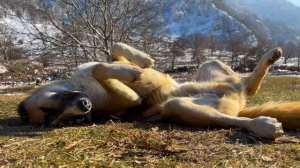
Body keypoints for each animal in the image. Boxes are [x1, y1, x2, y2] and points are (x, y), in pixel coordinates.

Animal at [18, 42, 300, 139]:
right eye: (61, 120)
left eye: (47, 107)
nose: (85, 107)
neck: (76, 85)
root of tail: (238, 102)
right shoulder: (129, 101)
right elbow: (100, 67)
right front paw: (132, 73)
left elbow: (112, 52)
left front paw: (141, 61)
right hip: (182, 107)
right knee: (235, 116)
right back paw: (262, 125)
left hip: (210, 66)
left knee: (249, 86)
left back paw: (270, 58)